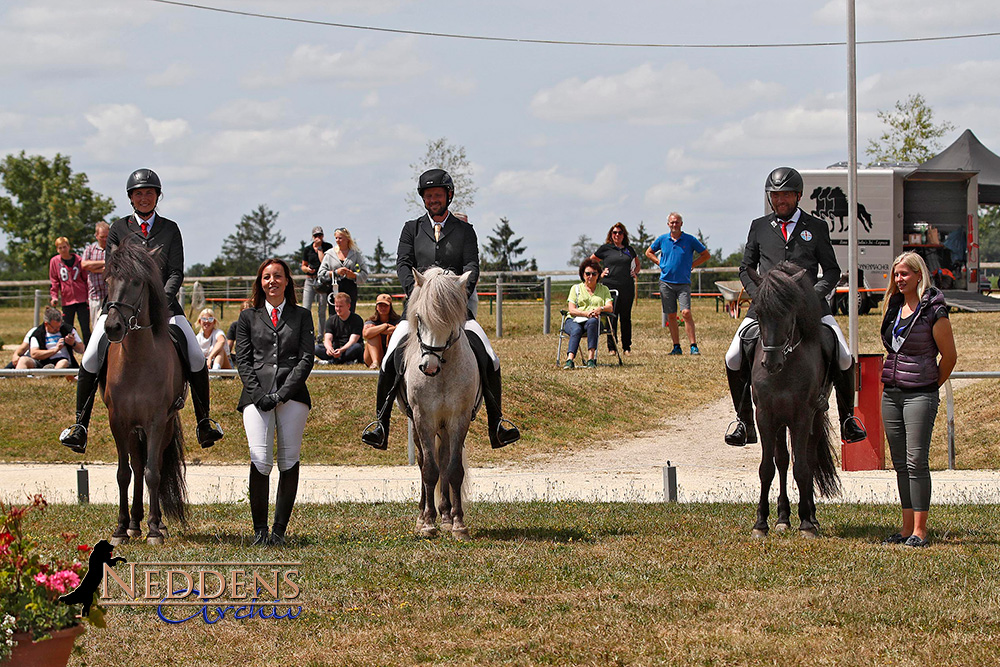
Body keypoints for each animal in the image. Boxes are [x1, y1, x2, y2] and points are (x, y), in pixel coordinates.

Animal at [103, 243, 188, 544]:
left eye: (137, 282)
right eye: (108, 280)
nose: (112, 327)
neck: (136, 361)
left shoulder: (155, 421)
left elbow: (153, 473)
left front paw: (153, 530)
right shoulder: (118, 421)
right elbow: (123, 474)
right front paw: (120, 529)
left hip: (164, 427)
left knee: (155, 465)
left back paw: (155, 524)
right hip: (132, 429)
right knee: (137, 467)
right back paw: (133, 523)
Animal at [398, 266, 480, 536]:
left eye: (451, 321)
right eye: (419, 318)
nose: (429, 367)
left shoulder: (459, 419)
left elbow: (453, 470)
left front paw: (458, 523)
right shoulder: (423, 418)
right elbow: (429, 470)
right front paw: (427, 523)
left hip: (444, 426)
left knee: (443, 460)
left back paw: (445, 514)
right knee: (425, 461)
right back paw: (424, 515)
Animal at [748, 264, 840, 540]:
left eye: (788, 312)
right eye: (758, 312)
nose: (771, 363)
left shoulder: (802, 416)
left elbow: (802, 468)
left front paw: (807, 524)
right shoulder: (764, 416)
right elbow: (766, 468)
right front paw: (761, 524)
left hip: (812, 419)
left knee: (807, 458)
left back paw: (810, 516)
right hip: (779, 421)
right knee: (782, 460)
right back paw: (783, 518)